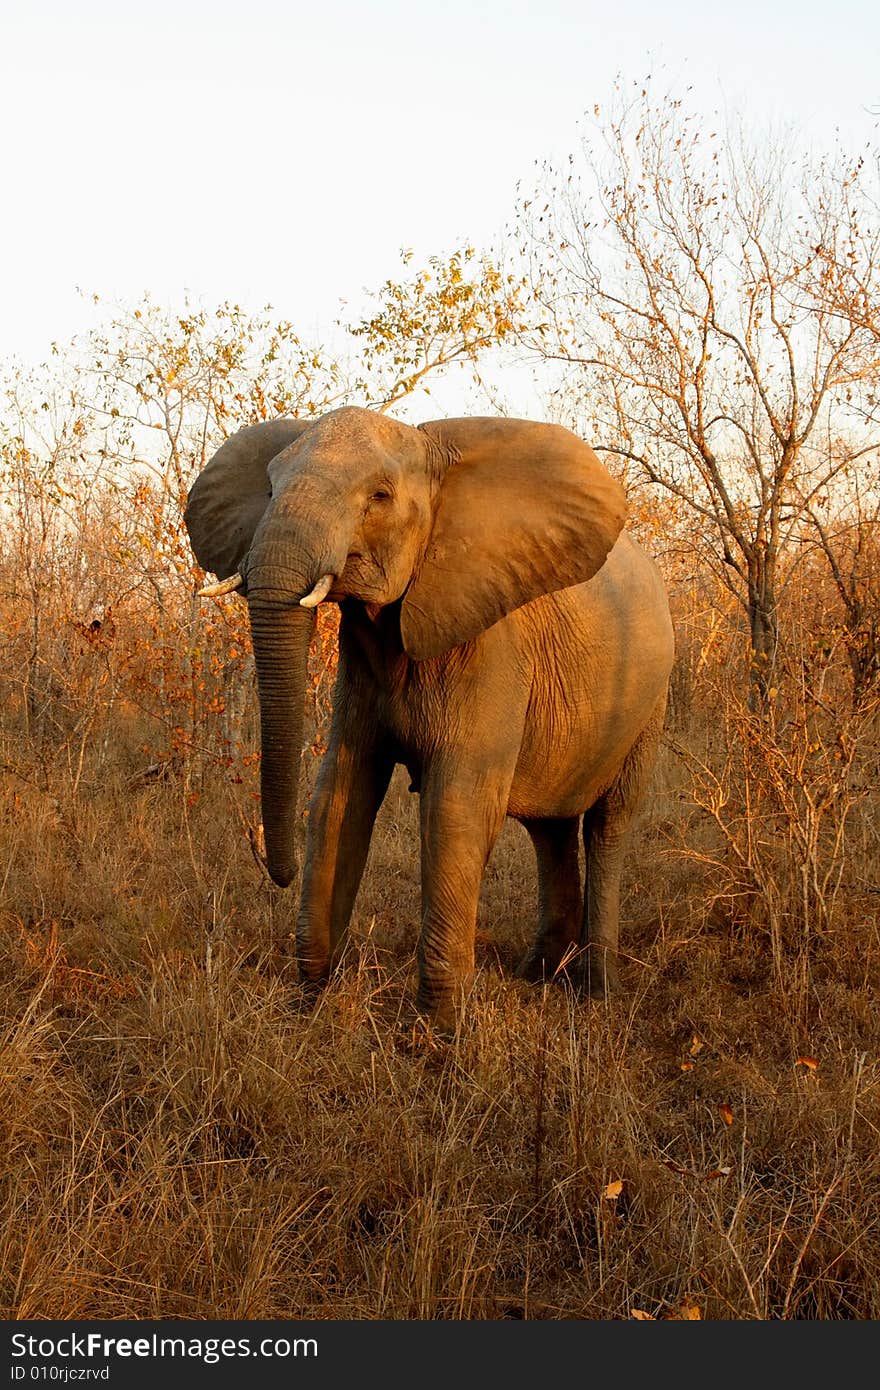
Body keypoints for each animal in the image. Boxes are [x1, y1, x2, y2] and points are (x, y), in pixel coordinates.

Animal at [184, 405, 672, 1028]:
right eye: (269, 489)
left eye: (380, 496)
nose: (277, 871)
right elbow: (340, 792)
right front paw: (311, 1005)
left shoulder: (490, 644)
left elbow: (455, 807)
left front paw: (435, 1031)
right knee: (550, 828)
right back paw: (538, 976)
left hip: (650, 702)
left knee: (608, 824)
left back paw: (597, 994)